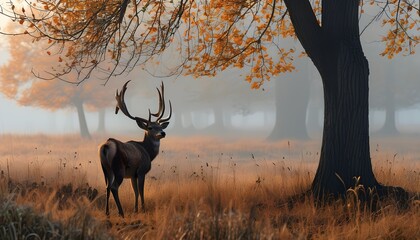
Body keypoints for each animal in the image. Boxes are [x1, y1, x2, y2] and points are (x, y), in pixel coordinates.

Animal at [98, 80, 171, 218]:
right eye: (150, 128)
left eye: (160, 126)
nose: (163, 133)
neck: (148, 152)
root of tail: (106, 146)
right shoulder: (141, 170)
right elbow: (141, 191)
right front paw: (143, 209)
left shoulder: (133, 174)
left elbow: (135, 191)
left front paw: (135, 210)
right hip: (119, 167)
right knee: (114, 187)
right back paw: (121, 212)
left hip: (105, 168)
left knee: (107, 186)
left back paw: (107, 212)